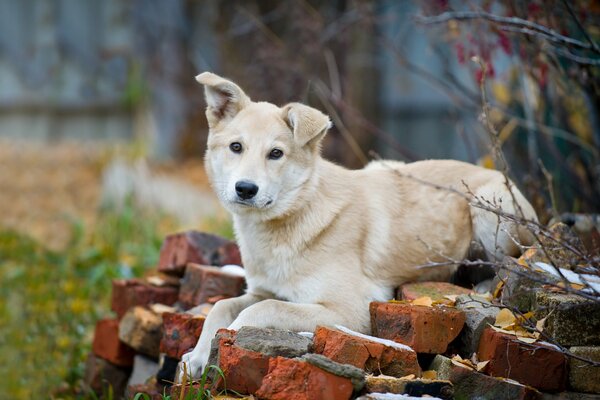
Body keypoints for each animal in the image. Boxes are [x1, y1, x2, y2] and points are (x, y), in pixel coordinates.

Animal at [179, 72, 540, 378]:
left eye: (276, 153)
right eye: (235, 147)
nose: (245, 189)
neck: (294, 216)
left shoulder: (351, 311)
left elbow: (262, 310)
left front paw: (227, 339)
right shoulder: (262, 290)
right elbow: (222, 305)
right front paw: (197, 355)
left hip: (487, 208)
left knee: (514, 263)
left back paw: (484, 286)